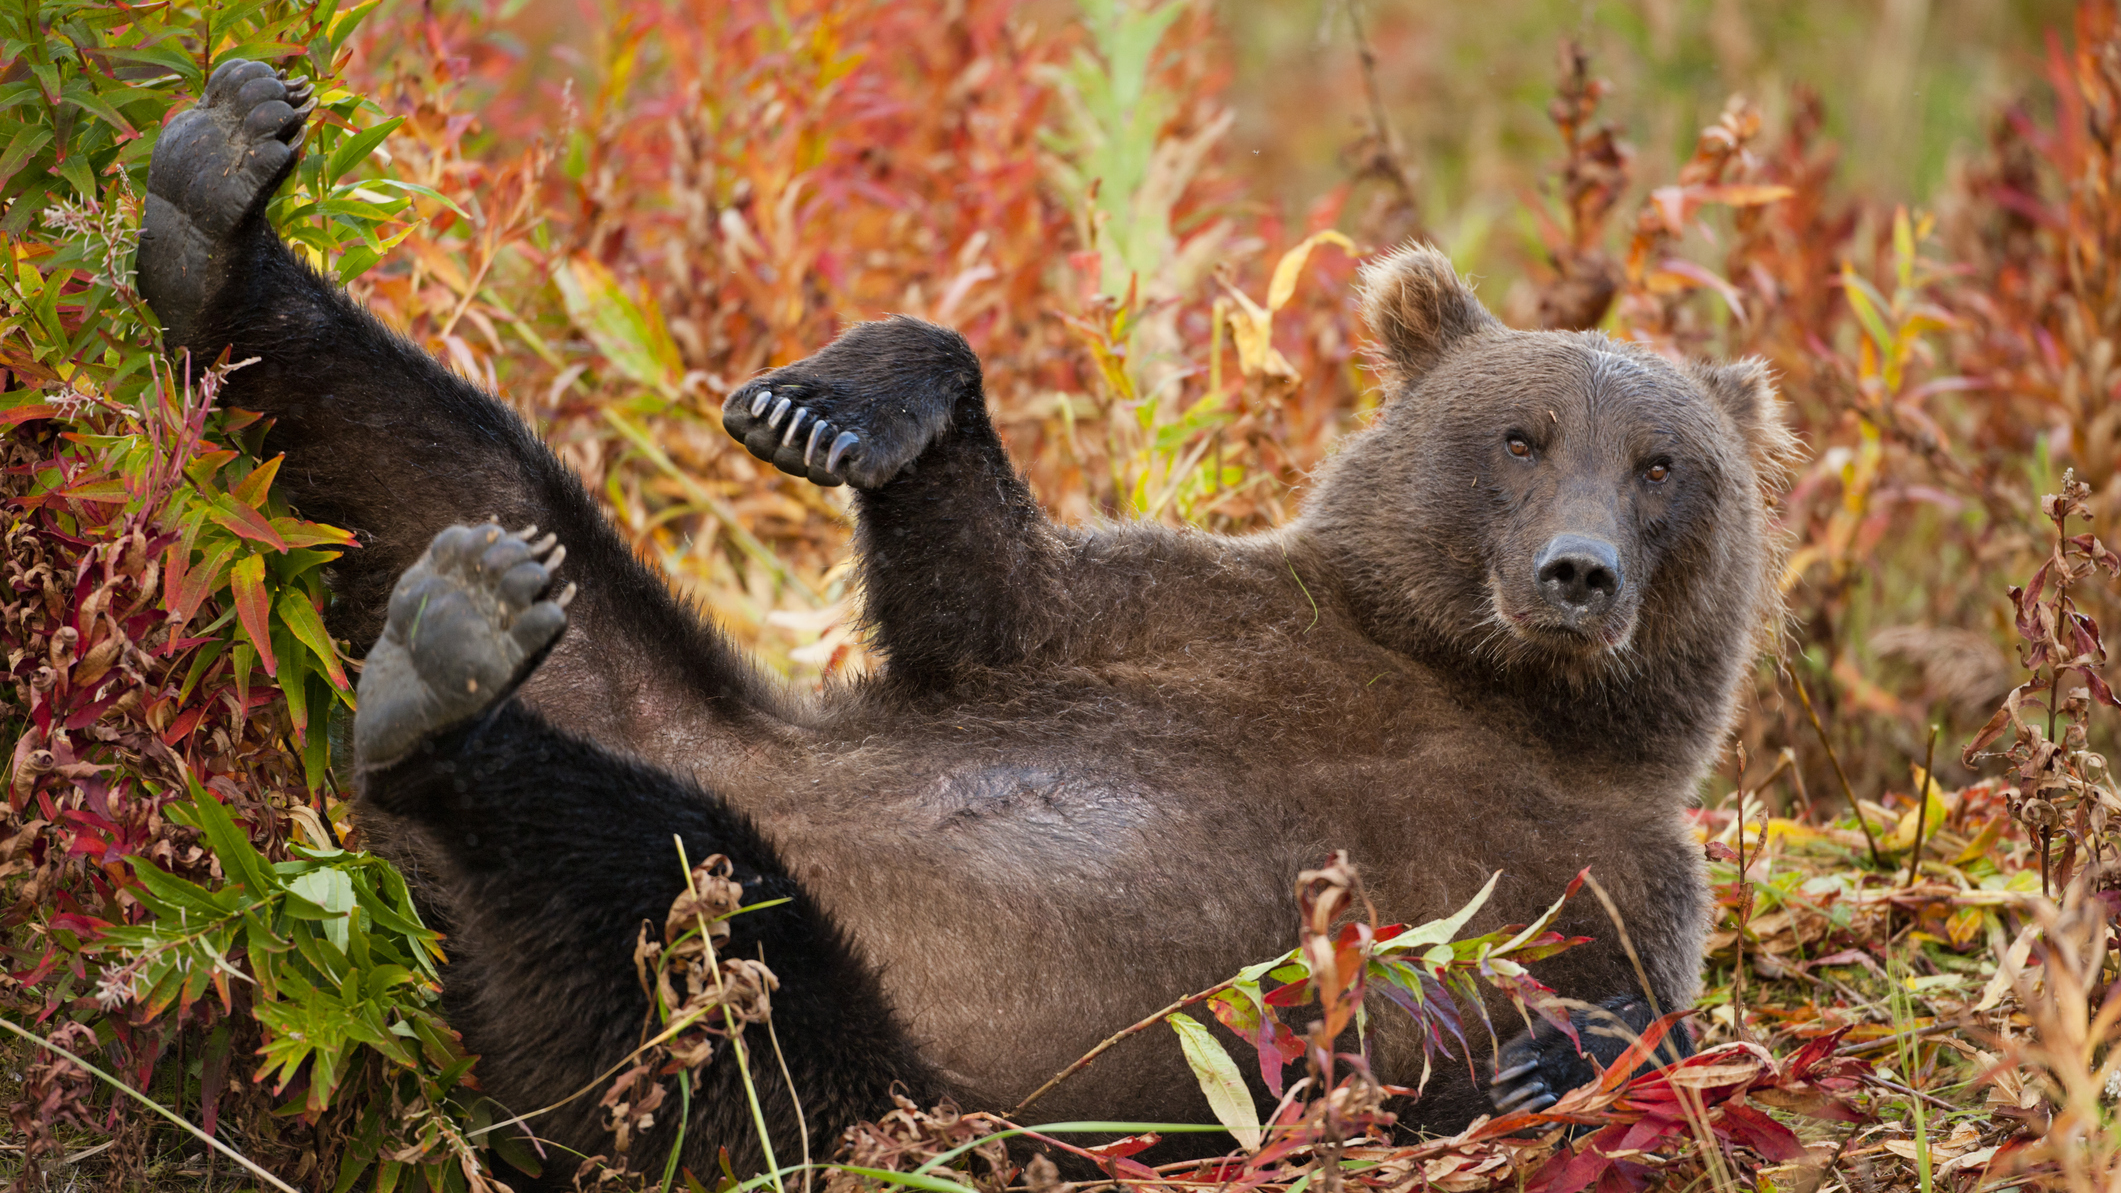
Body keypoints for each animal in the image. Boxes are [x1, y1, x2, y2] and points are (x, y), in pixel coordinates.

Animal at [135, 60, 1795, 1187]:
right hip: (653, 693)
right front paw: (835, 402)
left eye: (1663, 465)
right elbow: (990, 591)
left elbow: (1641, 1021)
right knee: (436, 467)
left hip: (866, 1071)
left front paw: (1545, 1050)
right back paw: (217, 205)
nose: (1576, 573)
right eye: (1521, 435)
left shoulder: (1607, 870)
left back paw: (443, 682)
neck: (1472, 684)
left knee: (657, 907)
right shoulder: (1204, 621)